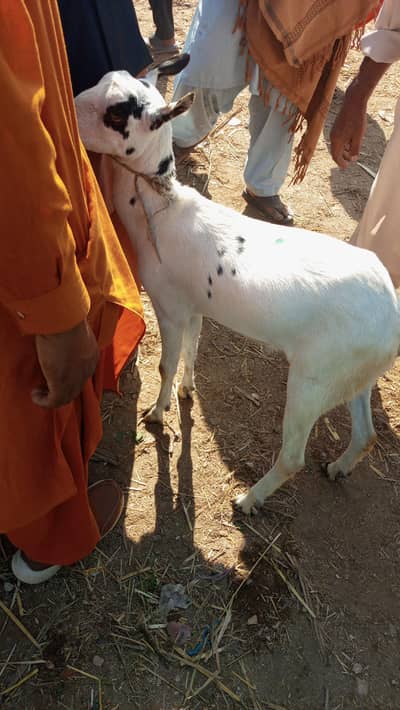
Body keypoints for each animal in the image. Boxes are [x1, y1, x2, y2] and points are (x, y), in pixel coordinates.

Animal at [75, 66, 400, 514]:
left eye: (116, 113)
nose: (70, 110)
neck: (160, 208)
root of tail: (392, 318)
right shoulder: (195, 306)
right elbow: (192, 350)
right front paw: (187, 391)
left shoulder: (170, 306)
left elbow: (166, 364)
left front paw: (157, 414)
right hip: (355, 374)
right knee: (366, 435)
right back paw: (338, 467)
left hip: (314, 378)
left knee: (293, 457)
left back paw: (248, 500)